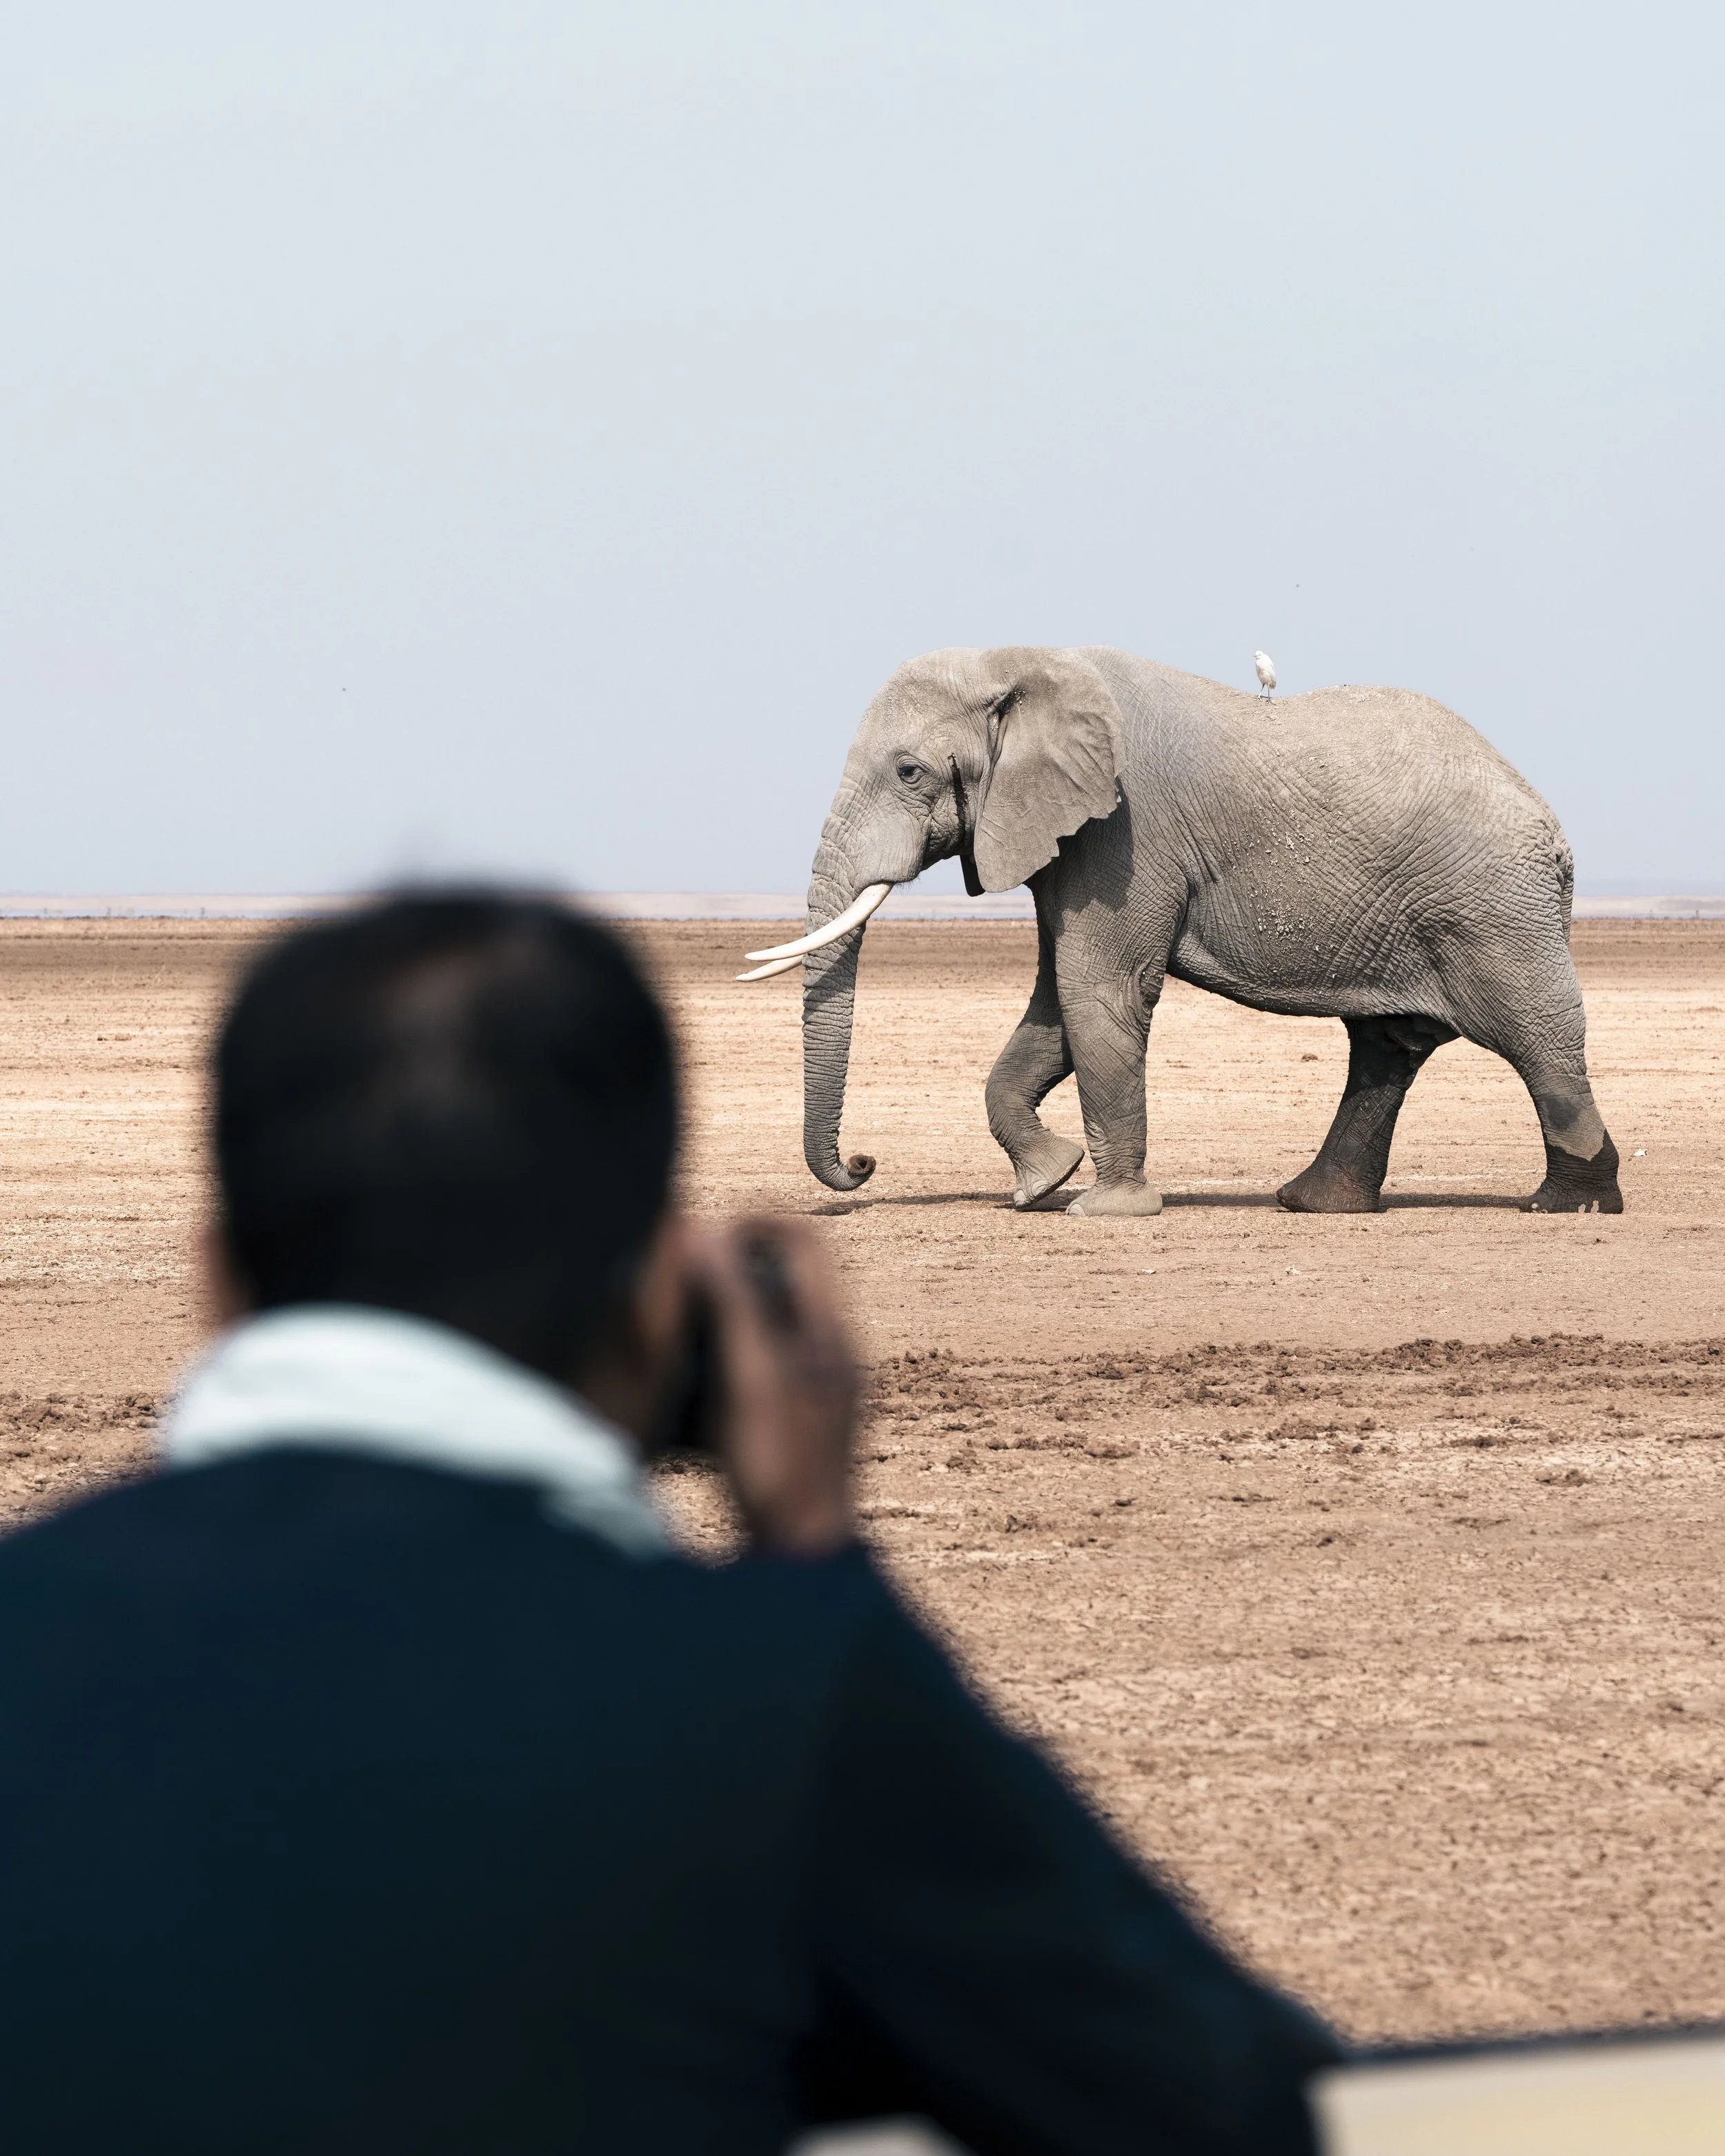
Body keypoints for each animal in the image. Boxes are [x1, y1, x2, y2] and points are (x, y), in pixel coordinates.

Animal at [740, 647, 1622, 1218]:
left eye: (909, 772)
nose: (862, 1162)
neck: (1022, 664)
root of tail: (1554, 833)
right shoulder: (1071, 837)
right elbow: (1057, 1002)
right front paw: (1039, 1185)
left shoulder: (1126, 831)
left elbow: (1099, 989)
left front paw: (1105, 1209)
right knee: (1386, 1046)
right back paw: (1313, 1204)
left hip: (1492, 909)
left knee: (1533, 1034)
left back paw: (1566, 1204)